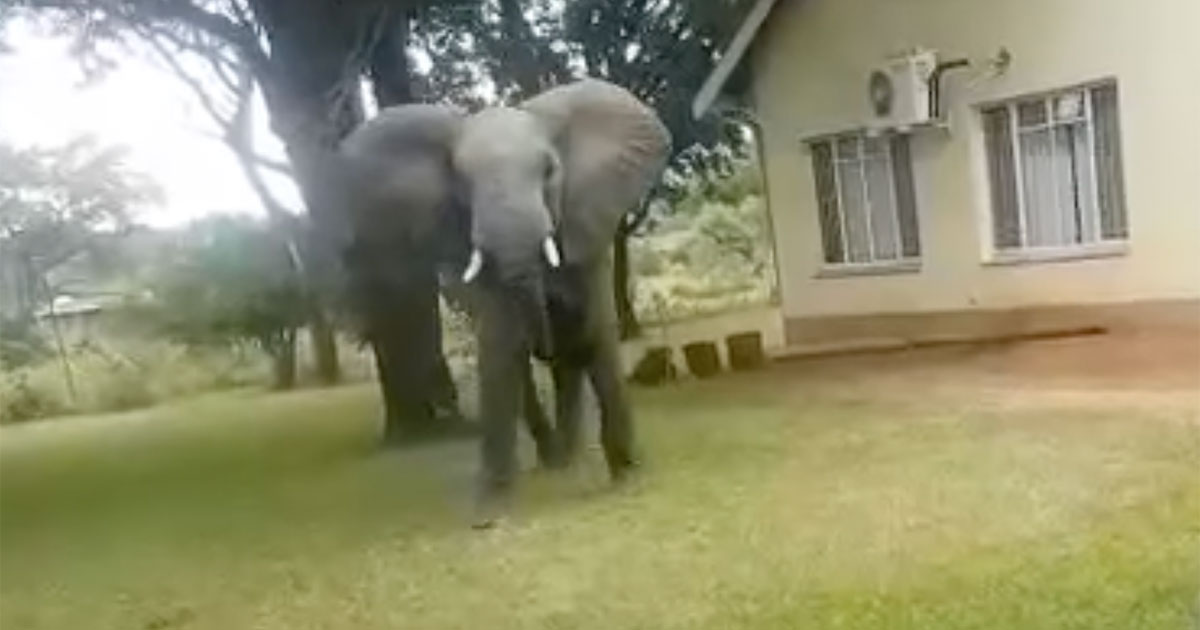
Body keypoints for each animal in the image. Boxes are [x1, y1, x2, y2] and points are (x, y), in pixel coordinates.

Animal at [333, 79, 671, 517]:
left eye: (549, 171)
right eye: (462, 183)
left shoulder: (586, 225)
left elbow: (594, 332)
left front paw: (628, 476)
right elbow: (502, 345)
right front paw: (489, 514)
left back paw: (569, 457)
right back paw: (558, 459)